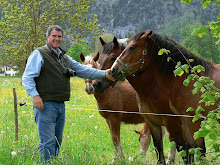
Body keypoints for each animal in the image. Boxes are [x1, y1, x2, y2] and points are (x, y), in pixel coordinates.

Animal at [93, 36, 179, 164]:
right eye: (100, 58)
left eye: (113, 58)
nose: (97, 84)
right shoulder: (109, 119)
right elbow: (115, 139)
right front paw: (118, 158)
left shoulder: (114, 118)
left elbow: (115, 138)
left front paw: (119, 158)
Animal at [111, 30, 220, 164]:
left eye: (132, 48)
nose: (113, 69)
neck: (187, 81)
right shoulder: (183, 121)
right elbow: (188, 151)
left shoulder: (192, 121)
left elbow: (198, 151)